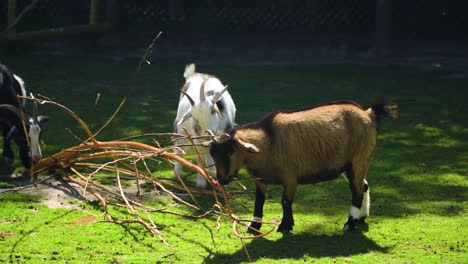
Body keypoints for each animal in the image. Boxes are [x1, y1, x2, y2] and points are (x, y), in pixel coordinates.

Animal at [210, 99, 396, 233]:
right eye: (213, 153)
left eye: (230, 152)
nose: (220, 179)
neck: (270, 140)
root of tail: (369, 114)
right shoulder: (261, 179)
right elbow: (259, 200)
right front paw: (254, 226)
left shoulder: (290, 177)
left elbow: (286, 201)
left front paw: (285, 225)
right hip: (348, 165)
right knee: (364, 186)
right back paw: (361, 218)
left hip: (358, 160)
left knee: (357, 191)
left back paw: (350, 223)